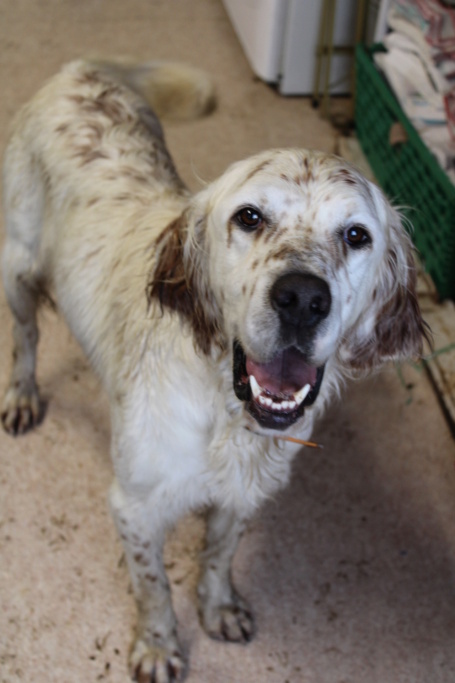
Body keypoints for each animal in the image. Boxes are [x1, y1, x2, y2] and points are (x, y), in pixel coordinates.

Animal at [0, 60, 432, 683]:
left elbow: (218, 555)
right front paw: (158, 646)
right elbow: (153, 586)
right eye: (249, 217)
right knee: (26, 336)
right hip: (16, 267)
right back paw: (21, 394)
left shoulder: (243, 494)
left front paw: (218, 607)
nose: (302, 298)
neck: (224, 418)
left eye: (357, 235)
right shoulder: (134, 506)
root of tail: (81, 68)